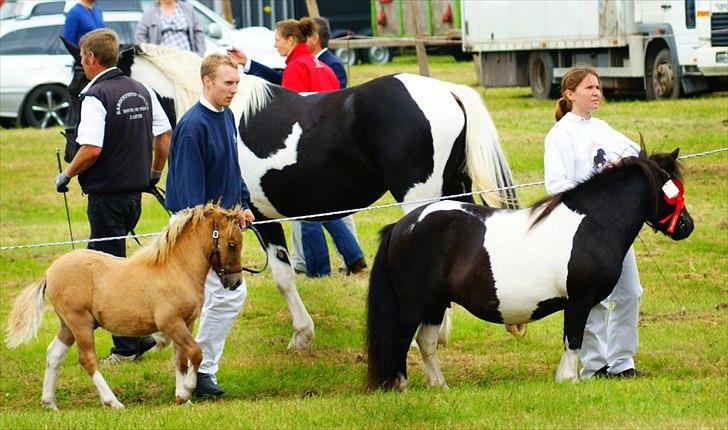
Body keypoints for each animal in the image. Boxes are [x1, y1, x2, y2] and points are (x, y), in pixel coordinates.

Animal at [61, 41, 516, 350]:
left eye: (81, 86)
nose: (71, 151)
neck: (219, 112)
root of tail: (449, 92)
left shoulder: (257, 218)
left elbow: (278, 277)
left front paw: (300, 335)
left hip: (420, 201)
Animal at [366, 148, 696, 390]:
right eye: (672, 190)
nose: (687, 226)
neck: (592, 222)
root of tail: (402, 225)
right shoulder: (579, 301)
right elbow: (574, 340)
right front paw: (568, 380)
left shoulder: (582, 302)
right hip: (415, 303)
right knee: (400, 338)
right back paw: (401, 386)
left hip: (435, 303)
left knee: (426, 342)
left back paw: (439, 386)